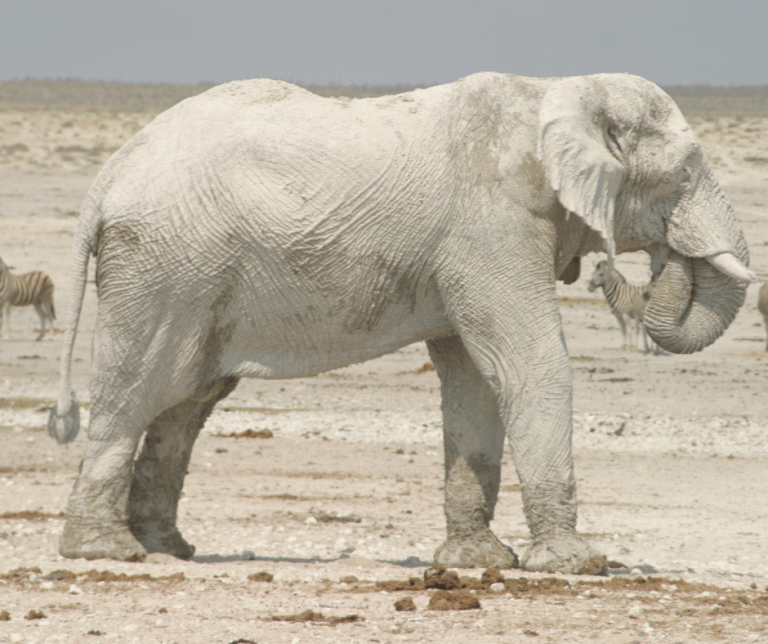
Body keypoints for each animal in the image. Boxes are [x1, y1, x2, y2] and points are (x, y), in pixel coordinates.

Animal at [48, 72, 756, 572]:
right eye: (684, 173)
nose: (658, 262)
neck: (558, 90)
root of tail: (111, 170)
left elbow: (474, 380)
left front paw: (475, 562)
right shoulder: (492, 223)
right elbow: (528, 363)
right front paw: (576, 565)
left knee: (188, 400)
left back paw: (169, 549)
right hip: (163, 261)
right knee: (137, 389)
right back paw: (106, 553)